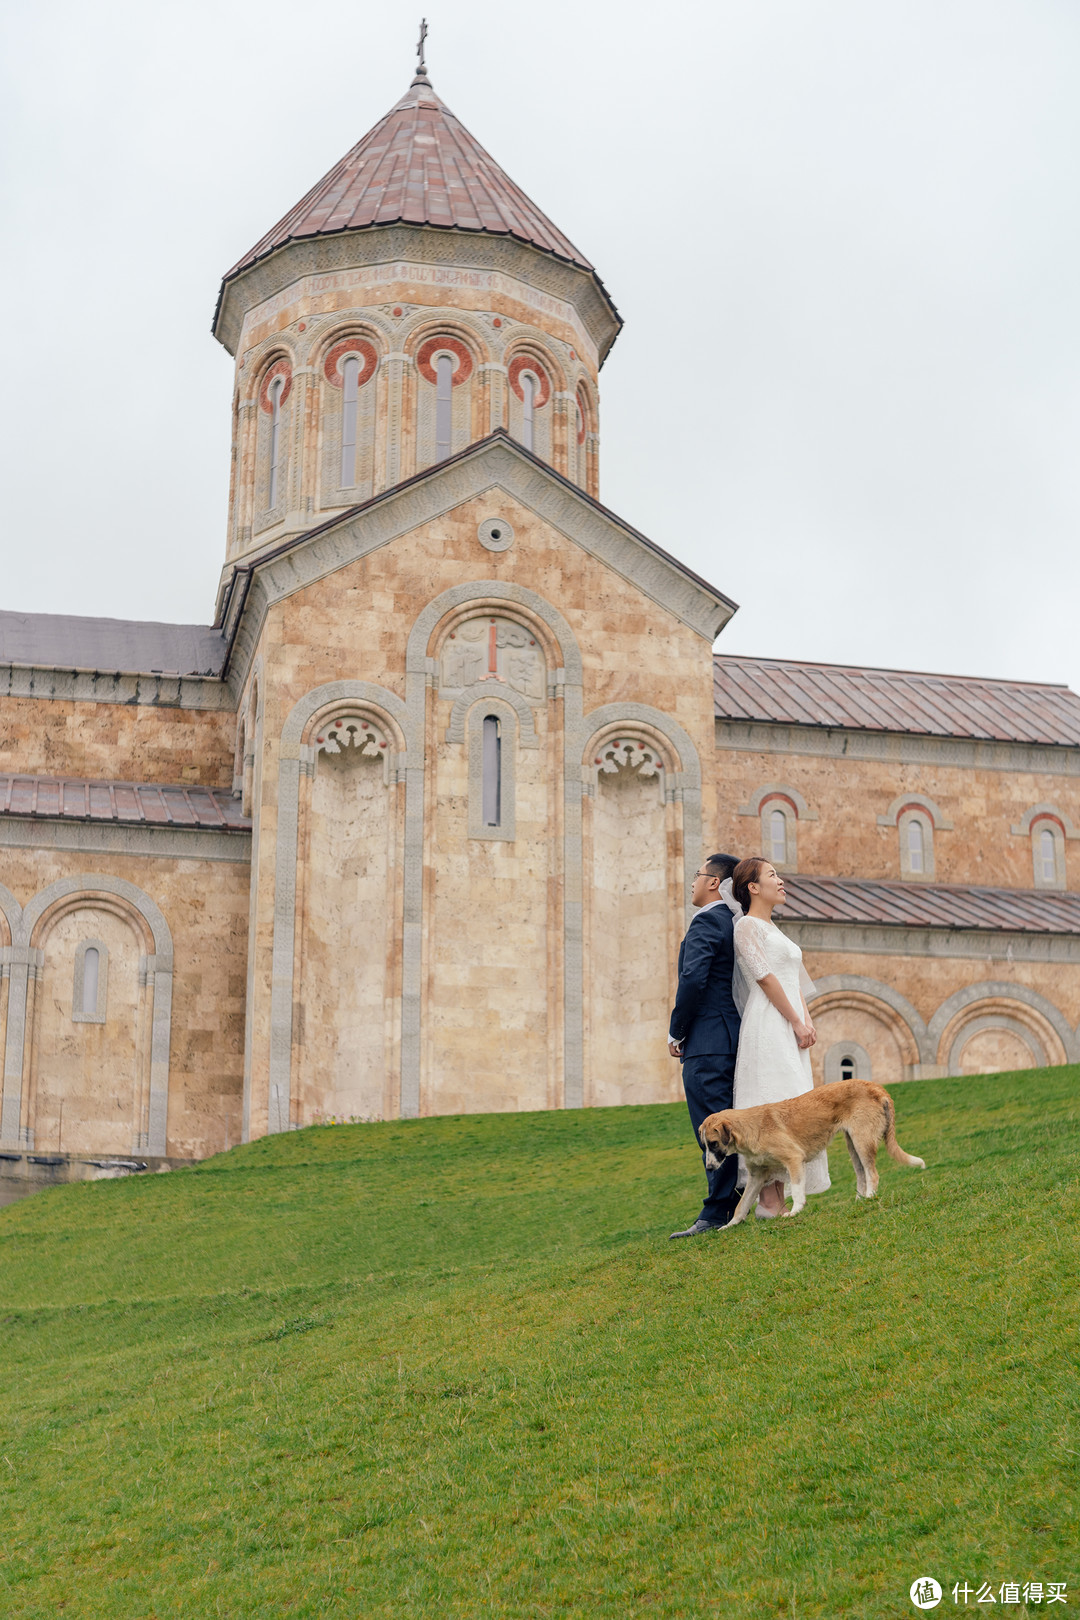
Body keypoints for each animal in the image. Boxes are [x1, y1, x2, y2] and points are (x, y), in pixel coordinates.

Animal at [702, 1082, 932, 1218]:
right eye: (704, 1145)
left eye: (713, 1143)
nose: (710, 1168)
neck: (751, 1128)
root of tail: (876, 1087)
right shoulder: (757, 1175)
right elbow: (741, 1206)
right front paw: (728, 1226)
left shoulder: (794, 1159)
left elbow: (796, 1190)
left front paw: (795, 1211)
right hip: (852, 1144)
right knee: (861, 1174)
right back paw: (860, 1200)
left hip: (862, 1141)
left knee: (872, 1174)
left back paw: (870, 1197)